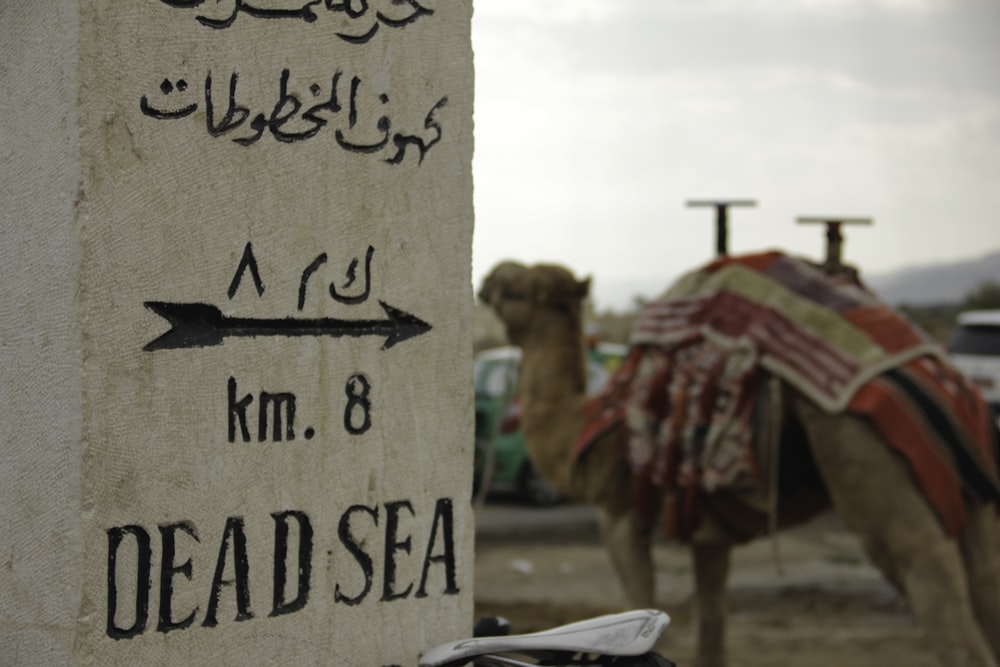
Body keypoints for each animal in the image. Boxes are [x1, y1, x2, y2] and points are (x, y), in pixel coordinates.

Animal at [478, 254, 1000, 667]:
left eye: (516, 290)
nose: (486, 277)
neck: (590, 424)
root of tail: (936, 375)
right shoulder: (709, 534)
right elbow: (712, 631)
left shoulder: (620, 515)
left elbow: (637, 604)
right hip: (968, 493)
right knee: (984, 585)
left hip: (871, 466)